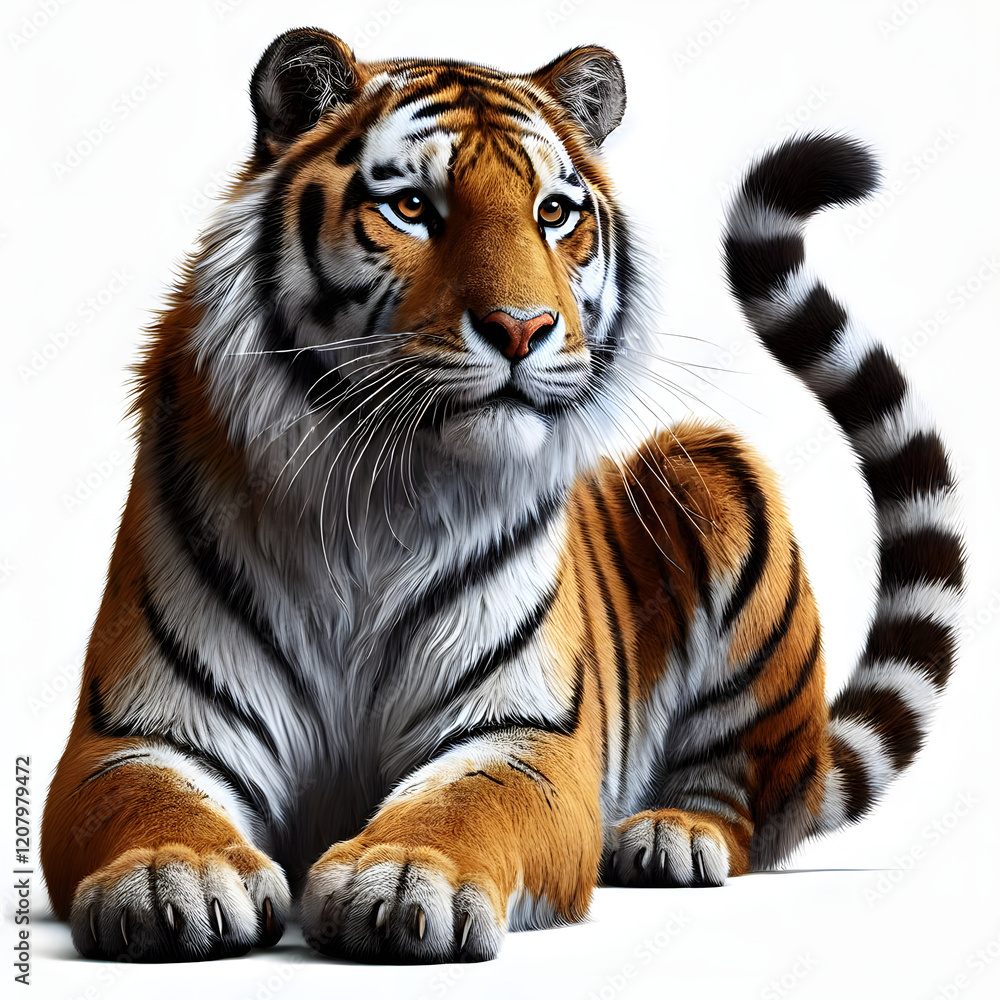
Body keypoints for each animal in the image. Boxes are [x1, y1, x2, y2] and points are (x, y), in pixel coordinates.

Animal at [40, 27, 964, 964]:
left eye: (553, 213)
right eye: (412, 207)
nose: (523, 329)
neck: (377, 497)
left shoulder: (522, 731)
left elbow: (464, 803)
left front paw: (405, 878)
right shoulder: (139, 730)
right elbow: (148, 800)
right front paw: (176, 874)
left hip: (709, 467)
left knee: (742, 794)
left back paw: (670, 834)